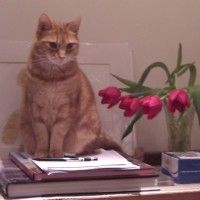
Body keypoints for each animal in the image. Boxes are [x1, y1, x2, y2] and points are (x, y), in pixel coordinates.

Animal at [2, 14, 121, 158]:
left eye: (69, 46)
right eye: (53, 45)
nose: (62, 57)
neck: (52, 78)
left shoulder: (65, 111)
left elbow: (57, 135)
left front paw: (55, 152)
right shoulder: (36, 110)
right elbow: (42, 135)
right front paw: (42, 152)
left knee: (92, 147)